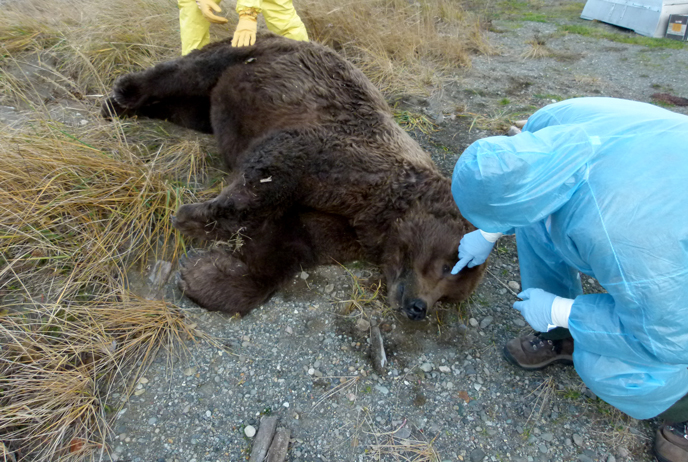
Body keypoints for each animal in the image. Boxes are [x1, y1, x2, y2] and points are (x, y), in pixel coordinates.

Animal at [103, 33, 490, 322]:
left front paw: (205, 275)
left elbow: (288, 245)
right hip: (249, 54)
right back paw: (121, 97)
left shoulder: (341, 225)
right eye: (450, 264)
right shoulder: (338, 157)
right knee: (189, 70)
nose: (418, 308)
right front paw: (196, 217)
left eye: (449, 295)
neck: (381, 218)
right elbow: (270, 173)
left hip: (206, 105)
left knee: (189, 106)